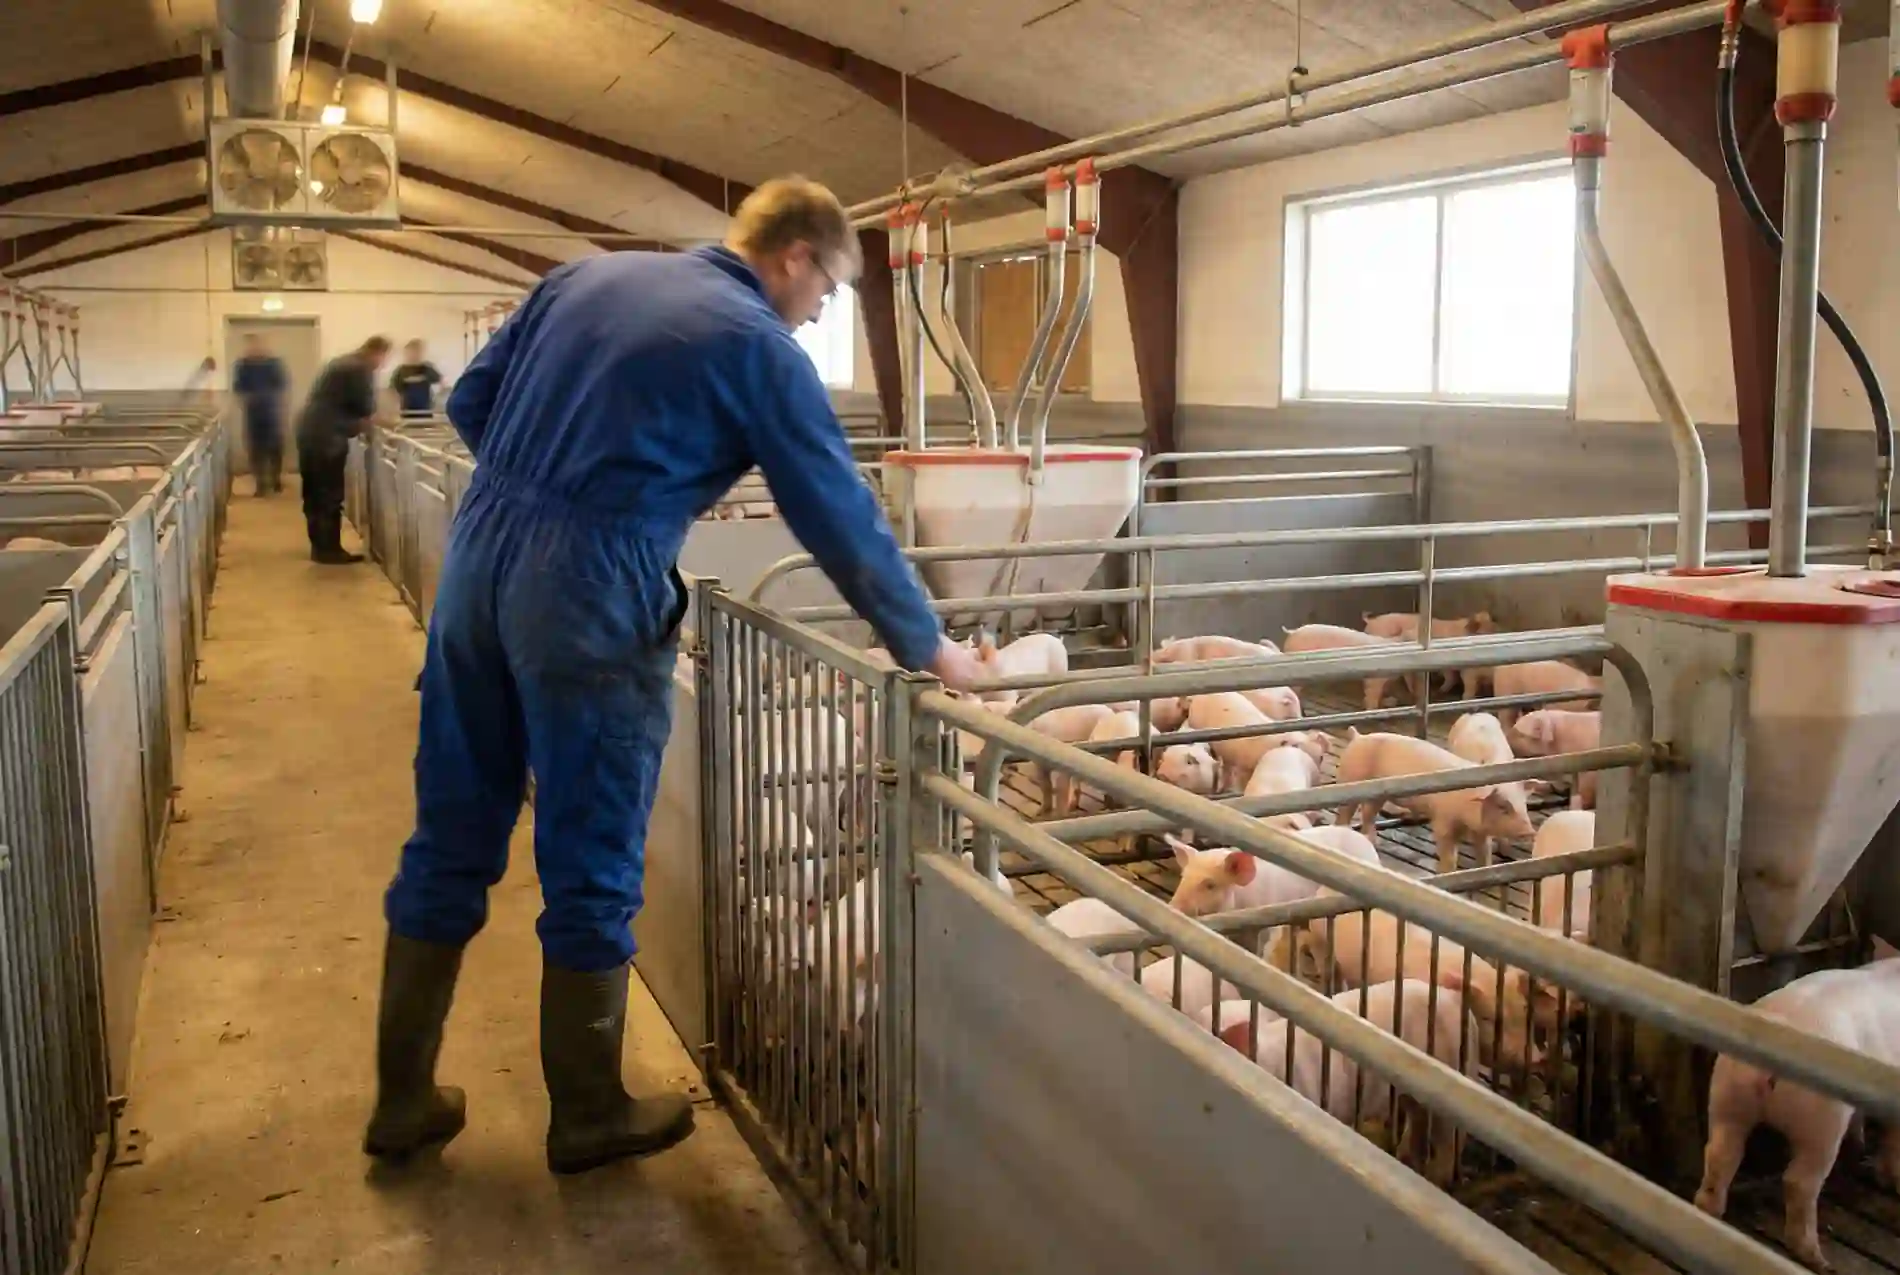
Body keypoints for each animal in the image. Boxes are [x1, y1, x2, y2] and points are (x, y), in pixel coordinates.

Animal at [1216, 980, 1479, 1183]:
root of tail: (1455, 999)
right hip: (1410, 1094)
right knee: (1418, 1122)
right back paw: (1406, 1158)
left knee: (1450, 1139)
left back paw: (1439, 1178)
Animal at [1332, 730, 1535, 872]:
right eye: (1502, 806)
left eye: (1523, 804)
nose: (1530, 831)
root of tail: (1358, 737)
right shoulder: (1442, 822)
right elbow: (1450, 854)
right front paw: (1445, 872)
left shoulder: (1480, 832)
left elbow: (1485, 854)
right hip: (1349, 779)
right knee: (1344, 815)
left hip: (1377, 795)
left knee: (1368, 813)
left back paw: (1372, 841)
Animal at [1695, 942, 1900, 1270]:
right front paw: (1892, 1181)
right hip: (1821, 1120)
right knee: (1799, 1181)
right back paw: (1817, 1260)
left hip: (1728, 1093)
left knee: (1720, 1154)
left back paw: (1707, 1209)